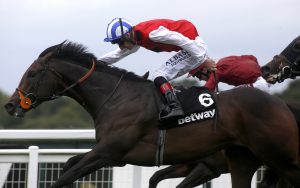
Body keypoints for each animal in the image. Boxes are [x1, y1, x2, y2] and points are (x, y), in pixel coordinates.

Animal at [4, 41, 300, 188]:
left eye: (33, 73)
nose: (10, 105)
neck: (115, 98)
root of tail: (283, 105)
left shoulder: (108, 152)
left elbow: (63, 178)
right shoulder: (113, 156)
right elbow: (68, 165)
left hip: (278, 156)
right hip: (243, 159)